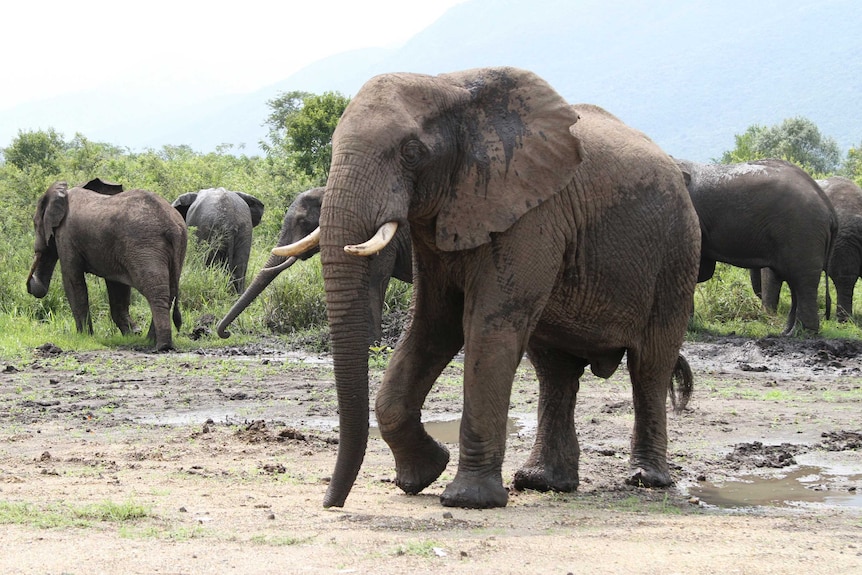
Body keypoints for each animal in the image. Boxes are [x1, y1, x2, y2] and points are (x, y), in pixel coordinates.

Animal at [27, 179, 187, 352]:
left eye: (35, 224)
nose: (31, 285)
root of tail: (172, 226)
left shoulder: (66, 236)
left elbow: (72, 280)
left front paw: (84, 336)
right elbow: (117, 287)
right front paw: (132, 334)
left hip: (145, 246)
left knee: (155, 291)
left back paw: (160, 346)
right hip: (175, 247)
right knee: (170, 291)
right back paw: (150, 341)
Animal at [276, 66, 704, 508]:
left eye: (411, 152)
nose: (331, 503)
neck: (450, 86)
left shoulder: (532, 210)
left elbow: (487, 326)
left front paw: (467, 499)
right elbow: (432, 326)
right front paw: (423, 475)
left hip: (677, 255)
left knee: (650, 365)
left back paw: (646, 479)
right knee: (555, 371)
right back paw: (542, 482)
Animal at [680, 160, 840, 336]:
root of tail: (830, 209)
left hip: (802, 230)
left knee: (802, 279)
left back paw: (802, 333)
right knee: (794, 280)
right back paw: (787, 333)